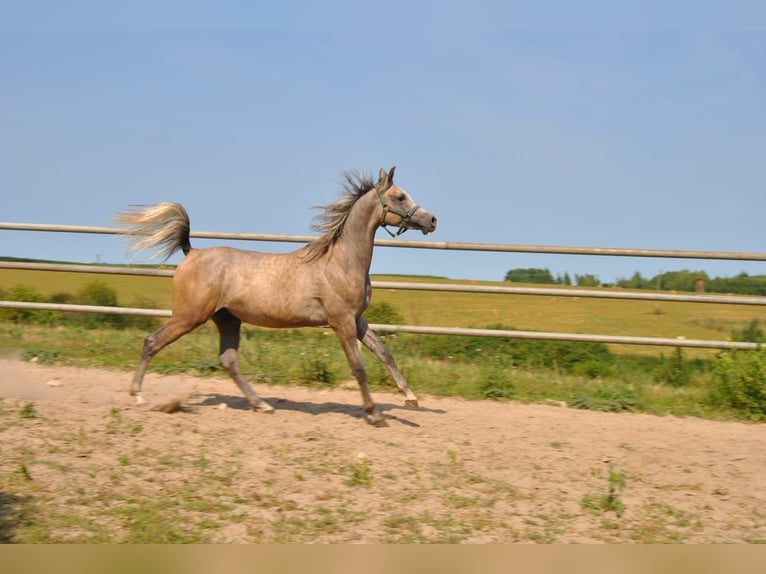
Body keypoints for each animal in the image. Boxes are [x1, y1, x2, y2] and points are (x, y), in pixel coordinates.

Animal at [114, 165, 438, 424]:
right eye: (400, 196)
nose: (432, 220)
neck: (340, 261)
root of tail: (191, 252)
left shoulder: (357, 320)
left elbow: (385, 354)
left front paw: (411, 398)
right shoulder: (341, 322)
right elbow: (358, 367)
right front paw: (374, 414)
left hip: (227, 319)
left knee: (228, 360)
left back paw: (262, 405)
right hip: (189, 316)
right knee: (152, 342)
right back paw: (138, 395)